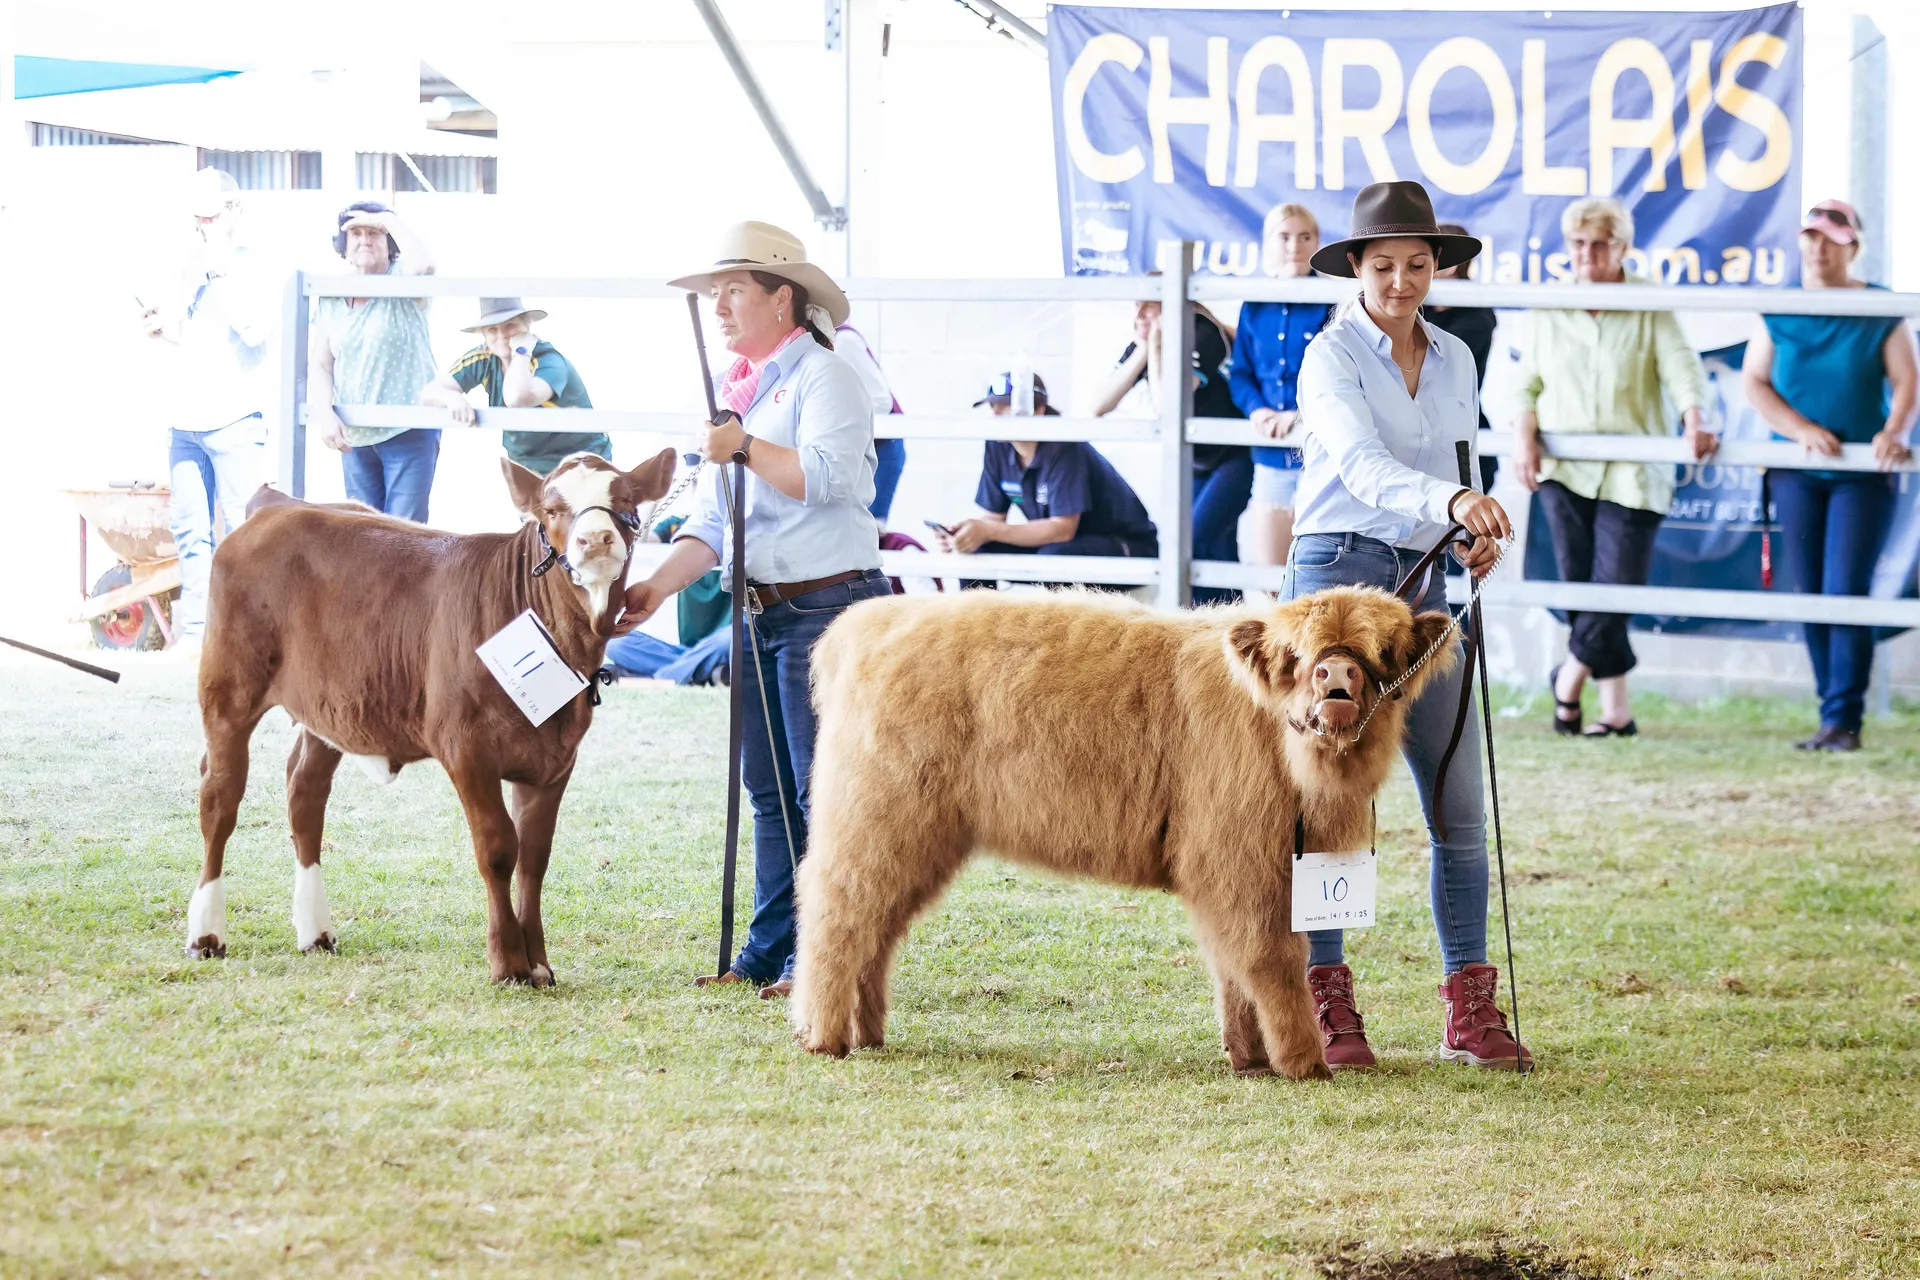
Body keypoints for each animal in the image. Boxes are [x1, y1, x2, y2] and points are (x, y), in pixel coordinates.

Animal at [183, 450, 676, 985]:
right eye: (551, 511)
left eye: (626, 502)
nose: (596, 538)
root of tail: (279, 504)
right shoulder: (465, 747)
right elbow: (498, 848)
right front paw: (508, 964)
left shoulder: (556, 760)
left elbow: (535, 856)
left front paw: (540, 964)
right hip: (227, 687)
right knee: (219, 796)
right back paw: (206, 934)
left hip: (328, 709)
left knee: (305, 793)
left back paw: (315, 932)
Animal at [790, 585, 1455, 1080]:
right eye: (1297, 654)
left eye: (1382, 651)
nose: (1335, 671)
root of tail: (868, 621)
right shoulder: (1237, 864)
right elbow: (1268, 958)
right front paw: (1302, 1061)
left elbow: (1231, 967)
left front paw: (1249, 1058)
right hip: (876, 820)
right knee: (837, 915)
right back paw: (824, 1037)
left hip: (919, 840)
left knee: (878, 929)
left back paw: (868, 1033)